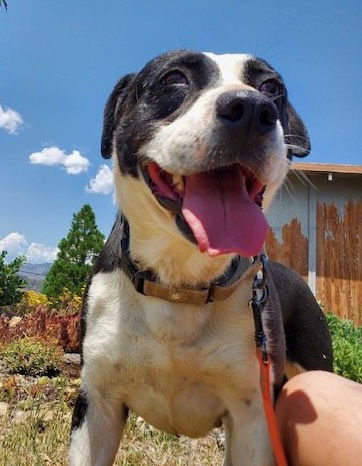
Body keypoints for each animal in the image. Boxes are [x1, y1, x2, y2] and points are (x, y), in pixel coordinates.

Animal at [68, 51, 334, 466]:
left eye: (272, 87)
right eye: (173, 78)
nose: (252, 108)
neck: (180, 282)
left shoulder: (253, 414)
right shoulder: (97, 403)